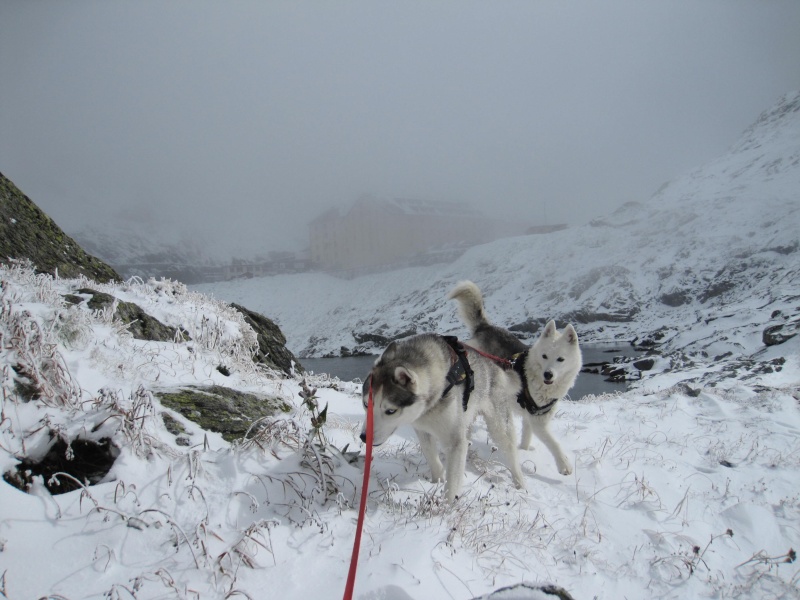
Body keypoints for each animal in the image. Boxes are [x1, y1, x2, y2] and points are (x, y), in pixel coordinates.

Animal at [360, 332, 524, 502]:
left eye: (391, 411)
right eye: (366, 404)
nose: (364, 437)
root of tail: (496, 367)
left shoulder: (454, 441)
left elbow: (453, 482)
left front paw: (448, 504)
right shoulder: (422, 428)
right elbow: (430, 454)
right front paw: (436, 480)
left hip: (498, 426)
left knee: (510, 450)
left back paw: (520, 484)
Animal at [450, 284, 580, 476]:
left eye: (560, 359)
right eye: (544, 356)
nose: (548, 375)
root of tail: (486, 328)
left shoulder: (532, 417)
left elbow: (526, 437)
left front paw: (524, 451)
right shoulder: (538, 422)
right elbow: (553, 443)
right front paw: (564, 465)